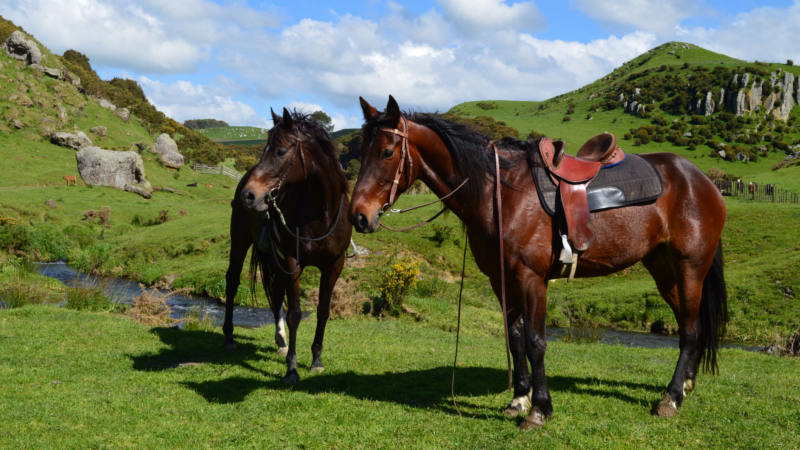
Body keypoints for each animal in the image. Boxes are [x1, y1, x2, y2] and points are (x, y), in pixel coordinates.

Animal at [223, 108, 352, 384]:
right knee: (232, 283)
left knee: (275, 291)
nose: (249, 195)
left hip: (275, 258)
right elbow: (295, 313)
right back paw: (229, 337)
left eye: (281, 151)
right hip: (240, 243)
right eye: (265, 148)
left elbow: (323, 311)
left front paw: (316, 360)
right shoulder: (294, 262)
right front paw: (292, 369)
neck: (321, 214)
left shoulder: (334, 265)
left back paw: (280, 340)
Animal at [348, 97, 724, 428]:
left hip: (690, 269)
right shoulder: (502, 280)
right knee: (689, 326)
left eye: (386, 152)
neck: (502, 192)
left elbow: (535, 341)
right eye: (362, 152)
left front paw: (540, 410)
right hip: (664, 271)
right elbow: (515, 339)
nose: (359, 216)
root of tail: (702, 181)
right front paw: (519, 399)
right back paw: (686, 385)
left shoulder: (532, 280)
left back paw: (671, 398)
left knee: (691, 330)